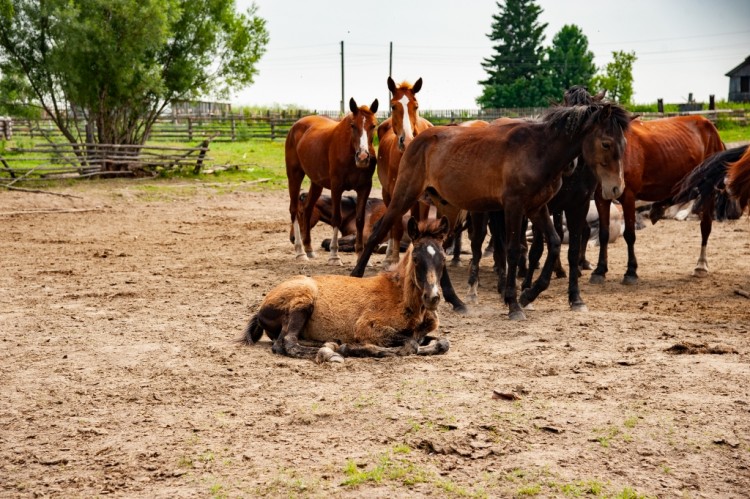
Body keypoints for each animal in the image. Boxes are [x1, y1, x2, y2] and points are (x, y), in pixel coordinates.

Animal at [241, 218, 452, 364]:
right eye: (416, 258)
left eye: (443, 258)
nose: (433, 297)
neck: (403, 298)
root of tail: (260, 309)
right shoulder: (367, 326)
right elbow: (410, 344)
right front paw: (354, 349)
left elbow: (441, 343)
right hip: (302, 300)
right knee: (286, 342)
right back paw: (330, 353)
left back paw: (330, 344)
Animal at [288, 96, 382, 266]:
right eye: (353, 125)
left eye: (373, 125)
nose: (363, 157)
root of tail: (296, 125)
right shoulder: (336, 187)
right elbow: (336, 218)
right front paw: (334, 255)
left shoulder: (365, 188)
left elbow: (360, 220)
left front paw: (361, 255)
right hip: (294, 175)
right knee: (293, 209)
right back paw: (300, 251)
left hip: (316, 183)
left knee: (308, 208)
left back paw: (309, 249)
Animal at [352, 103, 636, 320]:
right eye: (606, 143)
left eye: (624, 142)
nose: (616, 188)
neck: (539, 150)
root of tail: (414, 140)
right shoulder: (513, 207)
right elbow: (512, 250)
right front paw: (513, 303)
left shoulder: (537, 207)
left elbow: (554, 243)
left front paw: (528, 294)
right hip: (404, 196)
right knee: (378, 231)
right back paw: (355, 276)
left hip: (446, 207)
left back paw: (457, 301)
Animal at [376, 76, 434, 268]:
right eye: (394, 106)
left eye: (415, 105)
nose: (406, 140)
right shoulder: (395, 193)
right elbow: (396, 225)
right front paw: (393, 258)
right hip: (387, 193)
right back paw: (388, 254)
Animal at [592, 114, 728, 284]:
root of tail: (711, 127)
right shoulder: (601, 198)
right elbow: (603, 234)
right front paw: (599, 270)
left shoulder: (628, 196)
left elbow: (629, 235)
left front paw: (631, 272)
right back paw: (658, 209)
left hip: (708, 186)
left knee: (705, 226)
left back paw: (701, 266)